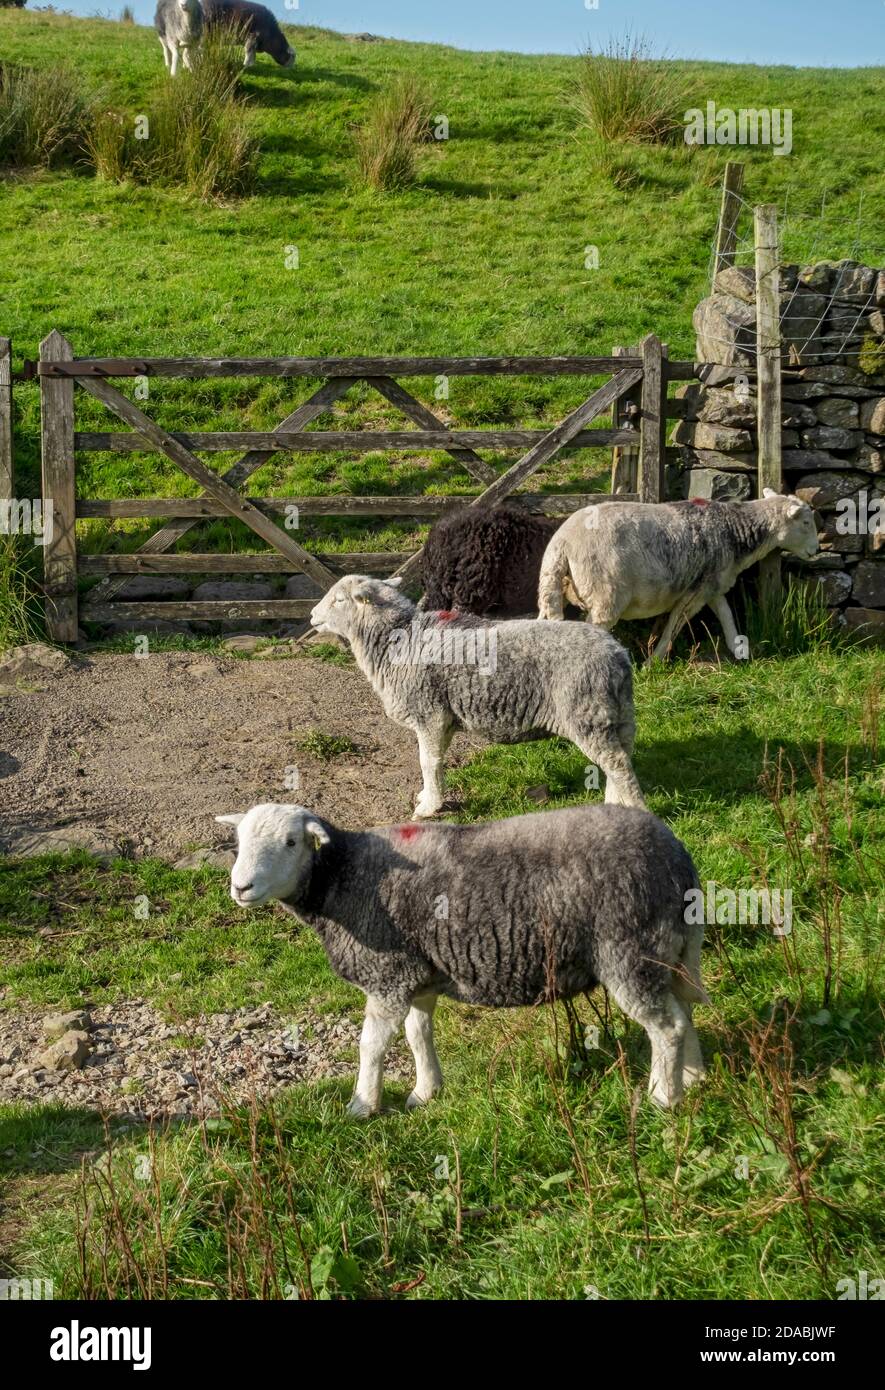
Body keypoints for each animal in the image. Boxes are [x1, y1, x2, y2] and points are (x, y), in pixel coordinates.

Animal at [219, 800, 711, 1112]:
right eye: (239, 842)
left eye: (291, 842)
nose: (240, 887)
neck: (341, 880)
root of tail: (676, 855)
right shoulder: (418, 973)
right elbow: (418, 1034)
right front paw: (425, 1092)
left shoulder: (388, 974)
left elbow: (372, 1045)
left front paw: (362, 1105)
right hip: (671, 950)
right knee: (683, 1011)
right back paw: (693, 1079)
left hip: (630, 950)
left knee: (666, 1026)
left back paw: (663, 1098)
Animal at [311, 572, 650, 811]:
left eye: (339, 600)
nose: (312, 615)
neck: (399, 638)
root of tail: (617, 655)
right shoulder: (444, 718)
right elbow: (436, 760)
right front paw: (430, 796)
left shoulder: (429, 713)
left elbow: (426, 762)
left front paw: (428, 808)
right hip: (617, 715)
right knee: (621, 759)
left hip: (587, 713)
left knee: (618, 766)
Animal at [536, 489, 816, 661]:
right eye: (805, 523)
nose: (815, 550)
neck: (733, 530)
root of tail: (562, 543)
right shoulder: (695, 593)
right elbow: (674, 625)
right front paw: (654, 662)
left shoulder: (711, 584)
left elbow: (725, 614)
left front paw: (740, 650)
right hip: (606, 596)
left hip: (553, 587)